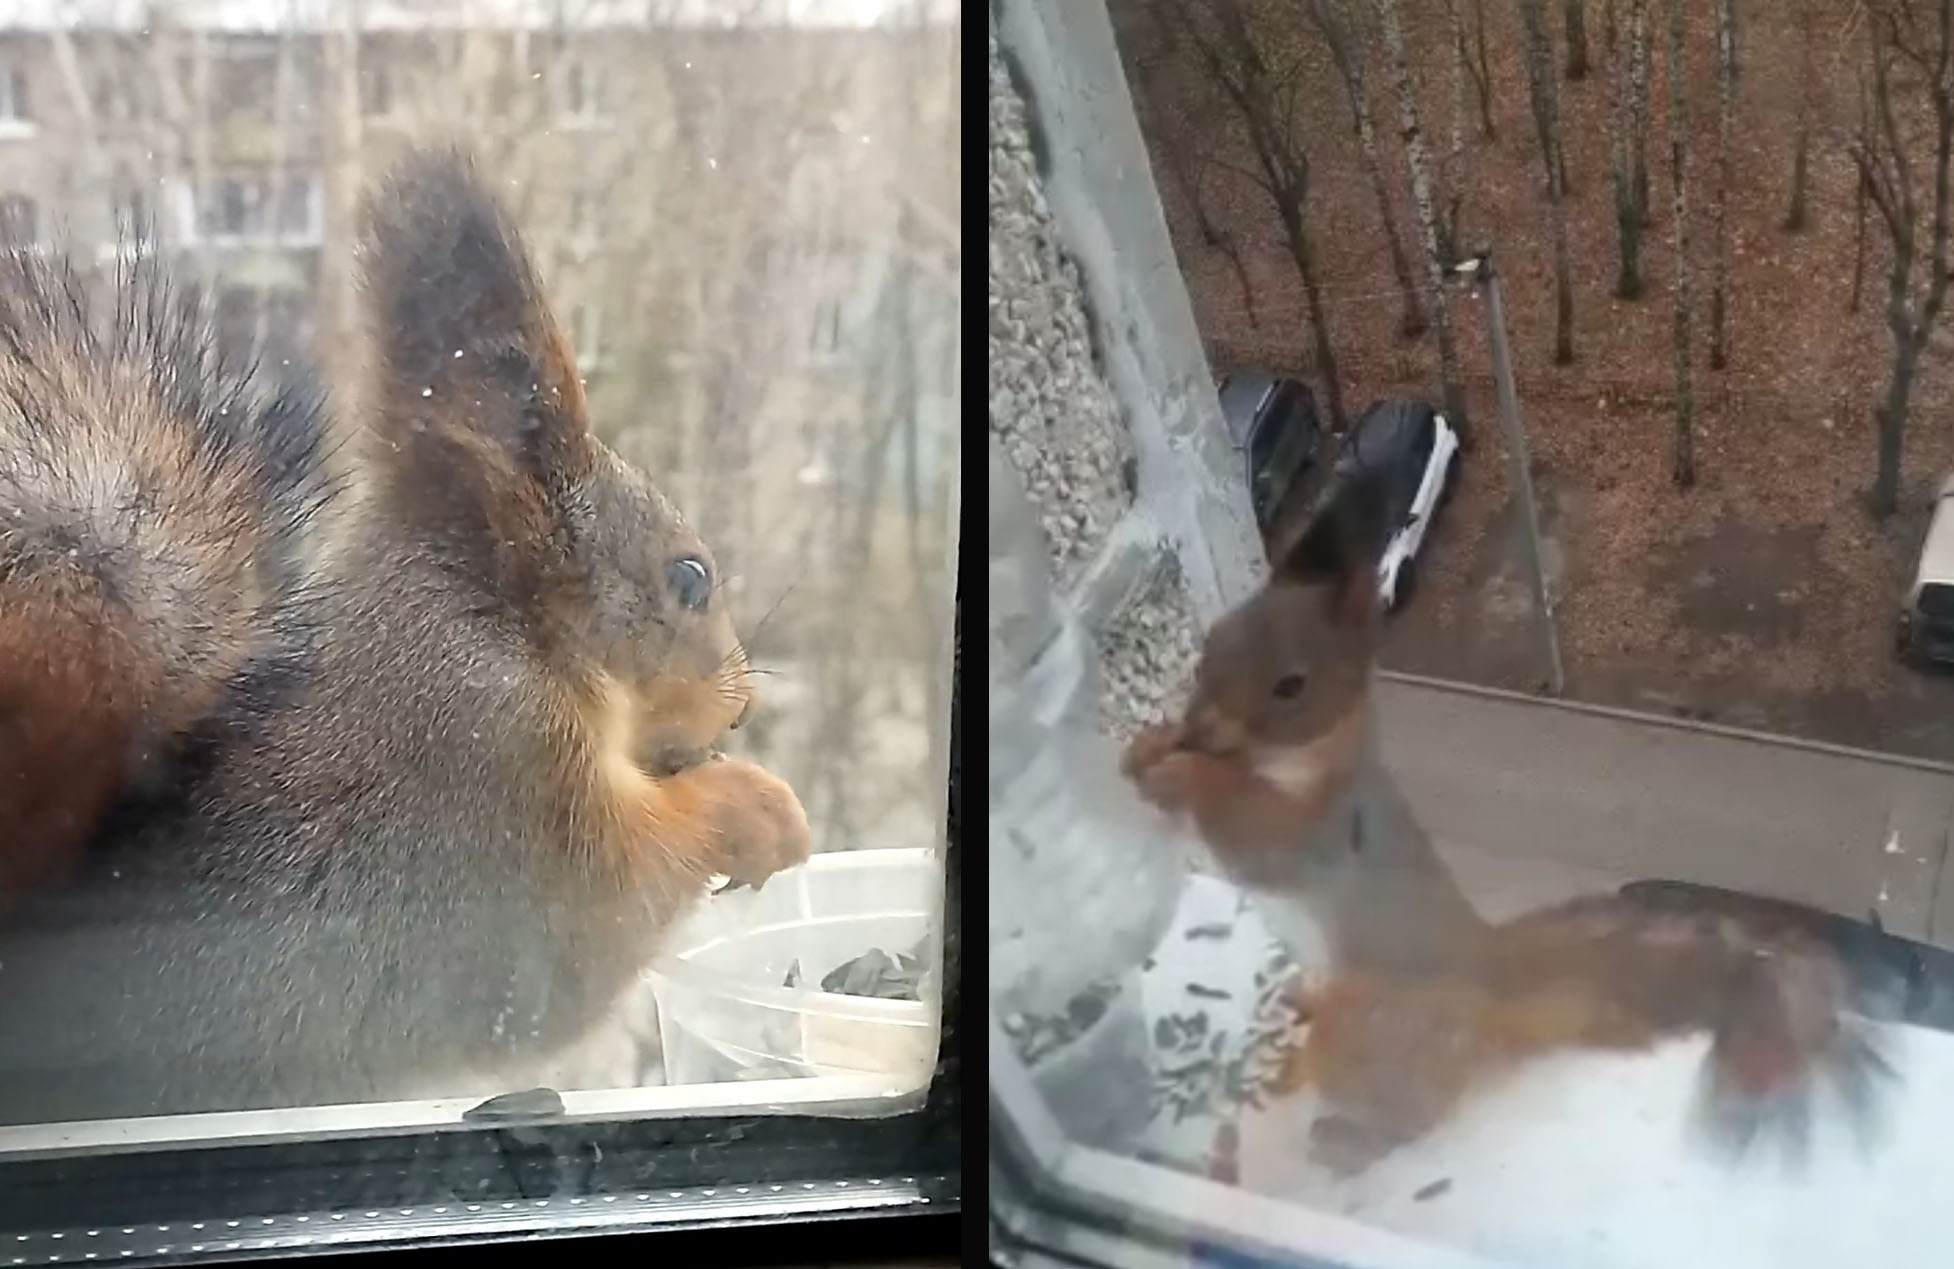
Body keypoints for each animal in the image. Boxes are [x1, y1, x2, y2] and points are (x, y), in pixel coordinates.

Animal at [0, 147, 809, 1122]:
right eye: (690, 577)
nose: (740, 710)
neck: (502, 628)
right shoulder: (502, 782)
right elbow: (600, 921)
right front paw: (755, 807)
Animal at [1122, 471, 1894, 1176]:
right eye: (1211, 640)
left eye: (1292, 686)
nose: (1199, 729)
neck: (1287, 764)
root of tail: (1489, 990)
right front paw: (1145, 750)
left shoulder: (1326, 833)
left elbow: (1256, 844)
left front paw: (1186, 775)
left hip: (1374, 1034)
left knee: (1411, 1115)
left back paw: (1349, 1142)